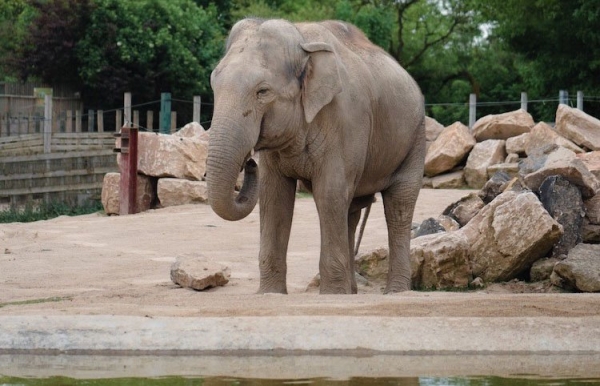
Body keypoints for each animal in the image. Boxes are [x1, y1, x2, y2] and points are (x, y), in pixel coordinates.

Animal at [206, 18, 426, 294]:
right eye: (214, 85)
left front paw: (331, 294)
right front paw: (270, 293)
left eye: (262, 91)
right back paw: (351, 292)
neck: (303, 39)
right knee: (352, 211)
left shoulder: (346, 121)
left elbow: (328, 193)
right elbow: (274, 196)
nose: (250, 163)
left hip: (415, 140)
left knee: (398, 207)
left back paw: (395, 292)